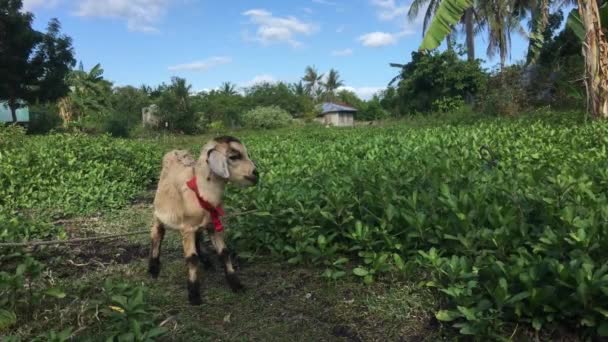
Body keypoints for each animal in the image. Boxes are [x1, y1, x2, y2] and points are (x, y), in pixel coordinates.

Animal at [151, 136, 260, 304]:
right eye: (234, 156)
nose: (256, 174)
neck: (201, 193)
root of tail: (175, 151)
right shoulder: (187, 228)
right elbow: (191, 258)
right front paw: (194, 295)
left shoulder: (213, 225)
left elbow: (224, 252)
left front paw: (236, 284)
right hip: (159, 213)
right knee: (157, 234)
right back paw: (153, 269)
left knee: (198, 237)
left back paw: (207, 262)